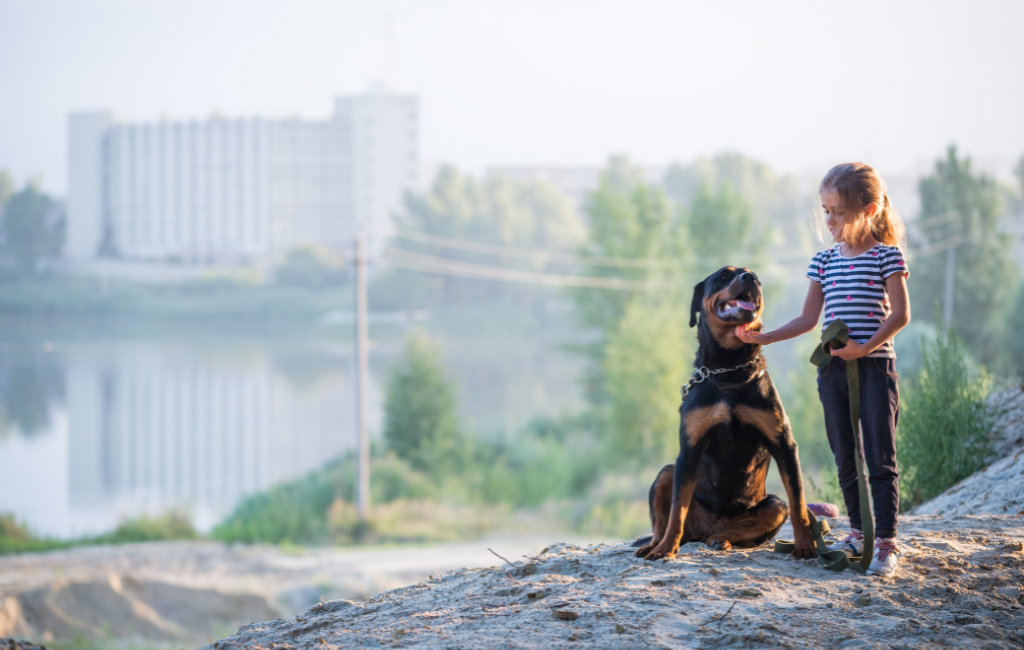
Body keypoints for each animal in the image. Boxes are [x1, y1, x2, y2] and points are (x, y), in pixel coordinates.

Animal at [630, 264, 815, 560]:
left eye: (756, 277)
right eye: (724, 276)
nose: (750, 278)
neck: (730, 367)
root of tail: (707, 528)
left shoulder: (784, 445)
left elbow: (799, 505)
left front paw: (806, 546)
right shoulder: (689, 449)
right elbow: (676, 511)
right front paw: (666, 550)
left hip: (774, 505)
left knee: (737, 529)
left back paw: (721, 540)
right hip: (666, 474)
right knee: (663, 521)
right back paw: (656, 545)